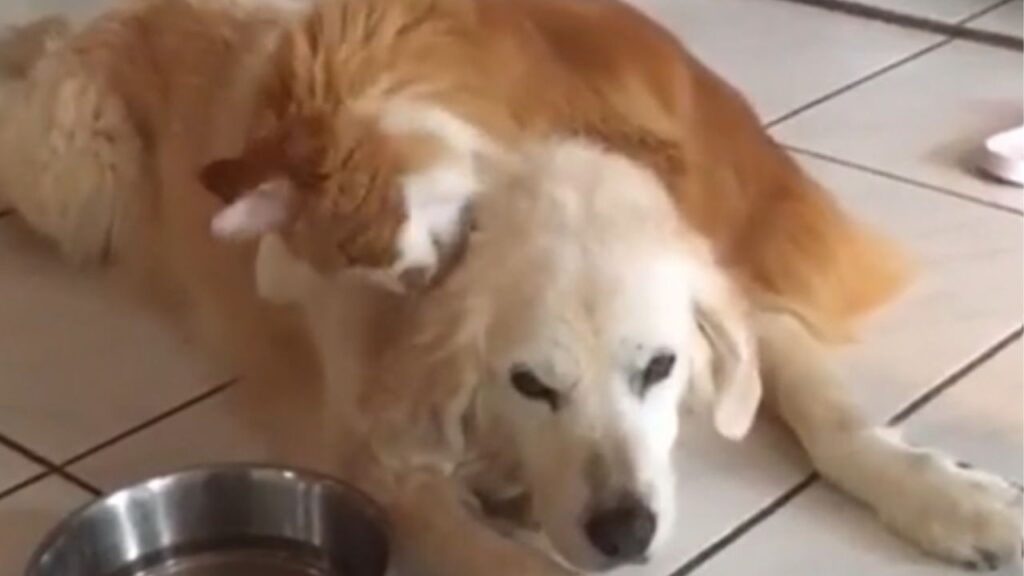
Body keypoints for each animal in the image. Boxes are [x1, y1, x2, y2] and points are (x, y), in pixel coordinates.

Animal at [0, 0, 1019, 569]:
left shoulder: (728, 293)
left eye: (660, 369)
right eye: (530, 385)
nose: (625, 533)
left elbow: (833, 417)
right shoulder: (382, 458)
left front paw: (955, 499)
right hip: (74, 170)